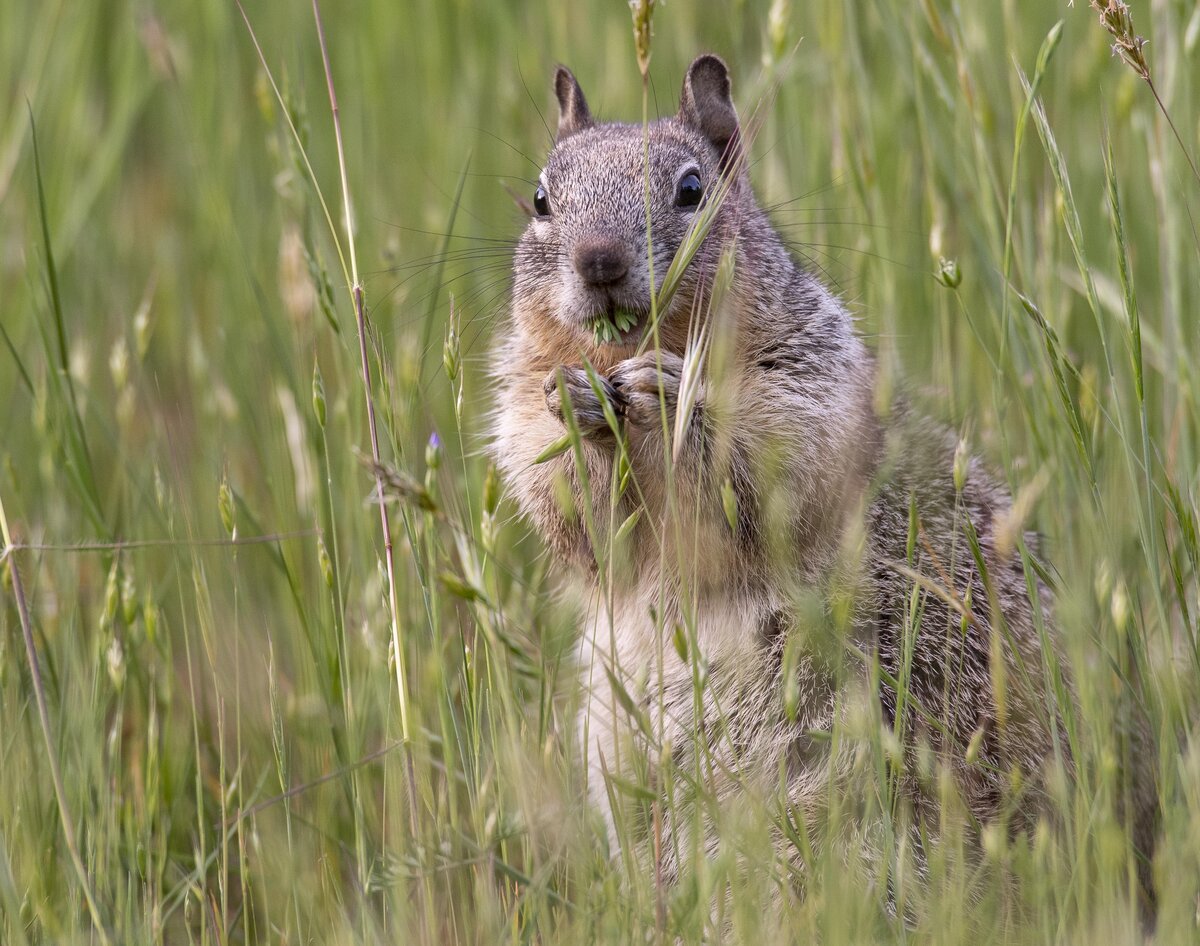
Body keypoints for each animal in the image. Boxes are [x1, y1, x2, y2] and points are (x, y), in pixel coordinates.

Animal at [487, 53, 1152, 902]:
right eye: (541, 199)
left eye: (692, 188)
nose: (599, 261)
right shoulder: (521, 420)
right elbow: (580, 518)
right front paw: (579, 409)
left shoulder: (809, 386)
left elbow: (763, 477)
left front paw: (672, 397)